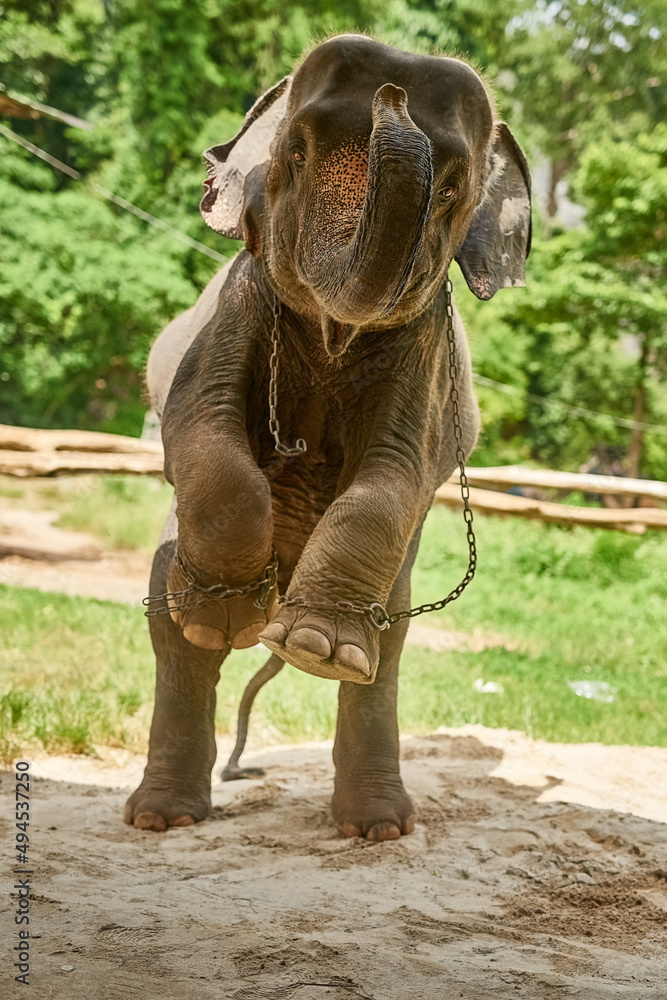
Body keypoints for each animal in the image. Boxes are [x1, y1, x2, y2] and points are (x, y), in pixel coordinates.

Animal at [125, 35, 532, 840]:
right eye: (296, 155)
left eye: (451, 190)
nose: (393, 90)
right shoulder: (238, 302)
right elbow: (201, 425)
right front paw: (228, 616)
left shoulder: (423, 351)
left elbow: (398, 470)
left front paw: (312, 646)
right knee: (172, 628)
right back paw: (164, 802)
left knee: (389, 647)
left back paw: (370, 801)